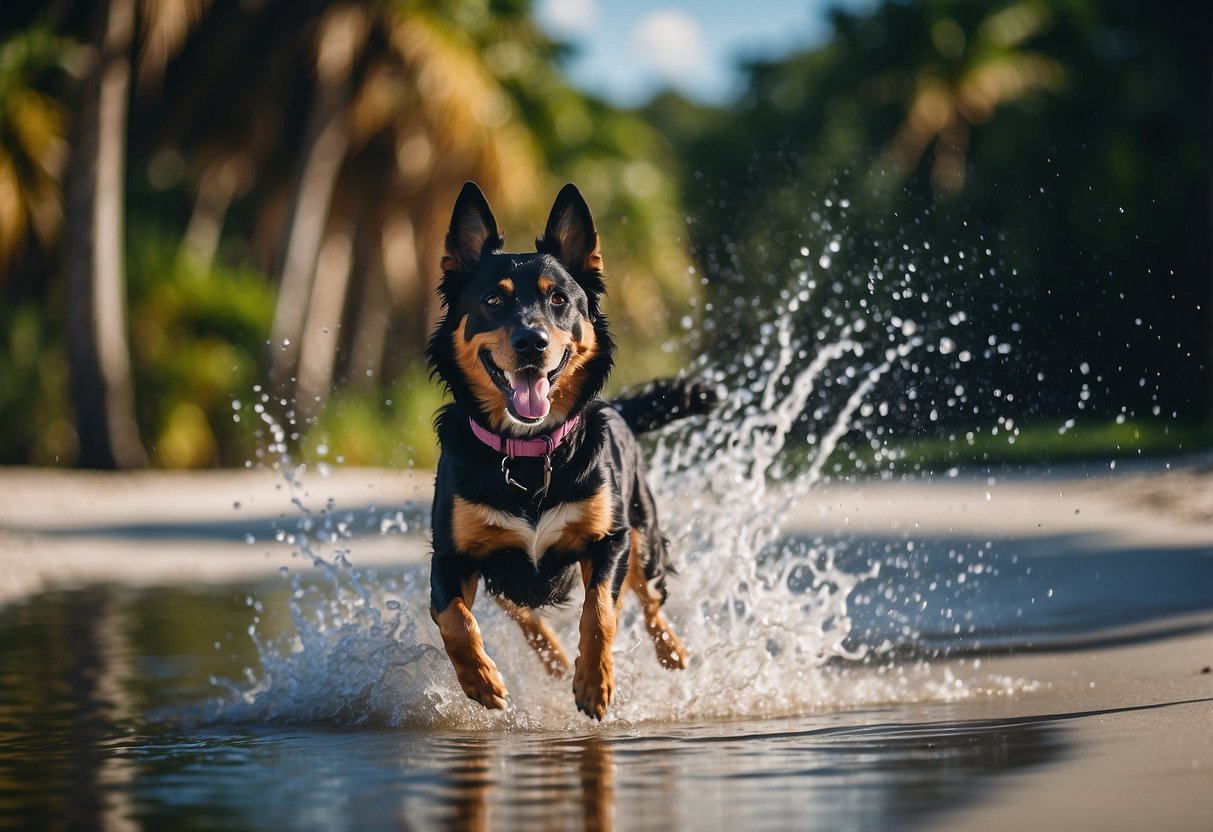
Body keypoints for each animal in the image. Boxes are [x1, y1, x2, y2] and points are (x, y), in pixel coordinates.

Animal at [426, 181, 713, 717]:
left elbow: (600, 611)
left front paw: (594, 683)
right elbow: (454, 618)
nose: (531, 342)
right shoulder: (452, 554)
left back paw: (672, 652)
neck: (528, 452)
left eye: (558, 299)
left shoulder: (610, 540)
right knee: (522, 611)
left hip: (643, 535)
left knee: (650, 601)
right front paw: (480, 680)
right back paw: (555, 660)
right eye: (493, 300)